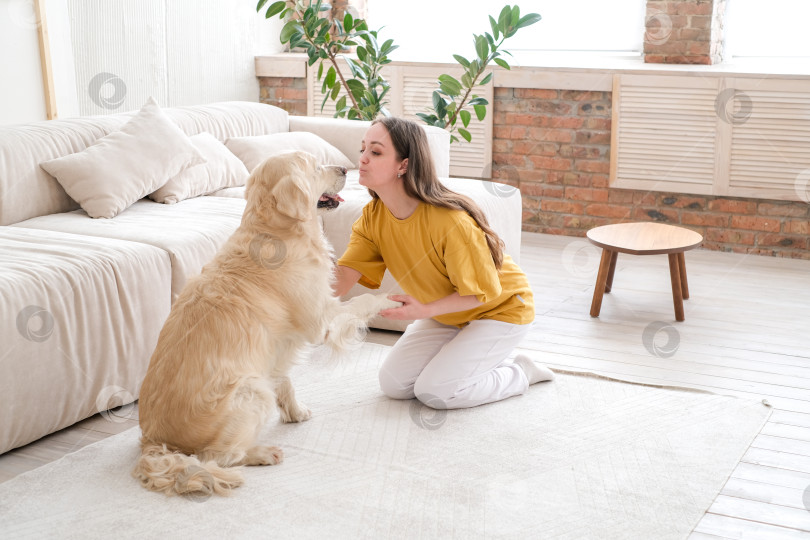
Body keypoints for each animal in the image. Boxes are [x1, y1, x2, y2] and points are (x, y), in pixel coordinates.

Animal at [133, 151, 398, 498]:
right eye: (316, 166)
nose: (344, 168)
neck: (277, 231)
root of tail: (152, 440)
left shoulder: (278, 348)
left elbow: (285, 379)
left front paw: (296, 412)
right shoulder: (321, 321)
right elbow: (363, 301)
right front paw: (393, 299)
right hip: (251, 391)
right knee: (220, 456)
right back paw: (262, 453)